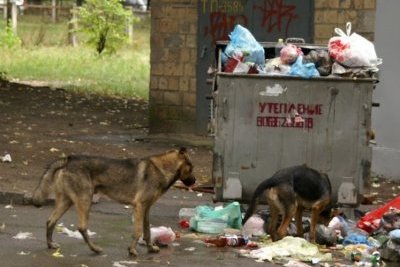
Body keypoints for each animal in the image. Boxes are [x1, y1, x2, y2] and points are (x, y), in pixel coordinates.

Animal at [31, 149, 195, 258]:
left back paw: (50, 244)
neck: (161, 168)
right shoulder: (140, 207)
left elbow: (147, 232)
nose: (195, 181)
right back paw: (95, 249)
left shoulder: (146, 209)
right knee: (81, 227)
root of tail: (68, 159)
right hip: (85, 201)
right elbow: (137, 232)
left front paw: (150, 248)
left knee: (50, 221)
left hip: (66, 202)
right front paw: (132, 250)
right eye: (191, 167)